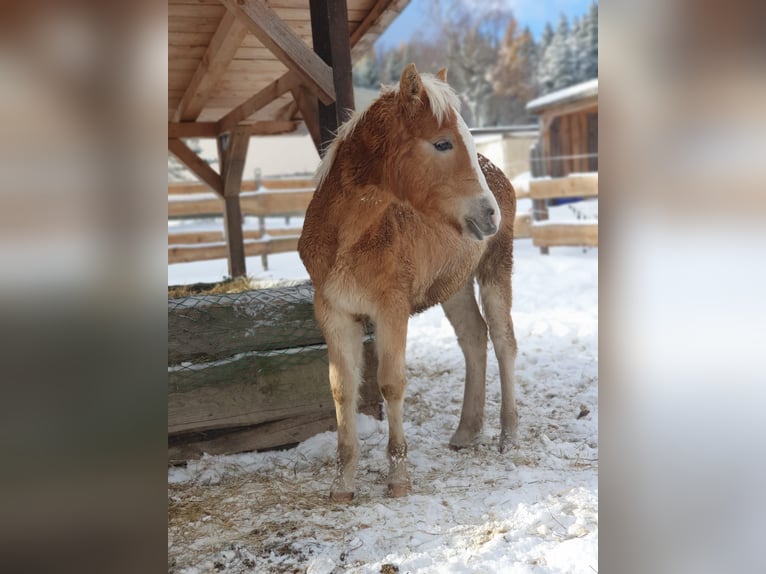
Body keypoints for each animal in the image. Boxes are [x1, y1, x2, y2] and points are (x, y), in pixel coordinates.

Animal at [296, 64, 520, 504]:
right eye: (443, 143)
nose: (490, 214)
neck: (350, 237)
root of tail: (499, 173)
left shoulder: (391, 308)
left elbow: (391, 383)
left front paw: (398, 477)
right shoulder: (333, 312)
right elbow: (342, 388)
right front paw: (342, 483)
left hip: (496, 268)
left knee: (504, 340)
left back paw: (509, 435)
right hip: (455, 284)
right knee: (474, 337)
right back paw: (467, 431)